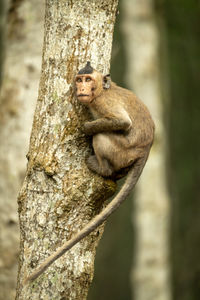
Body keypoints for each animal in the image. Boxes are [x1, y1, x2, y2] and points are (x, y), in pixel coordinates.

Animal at [24, 61, 155, 284]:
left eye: (88, 79)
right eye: (79, 80)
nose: (82, 88)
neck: (102, 90)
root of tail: (145, 150)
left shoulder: (104, 103)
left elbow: (123, 122)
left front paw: (85, 128)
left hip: (122, 151)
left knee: (102, 135)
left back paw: (101, 167)